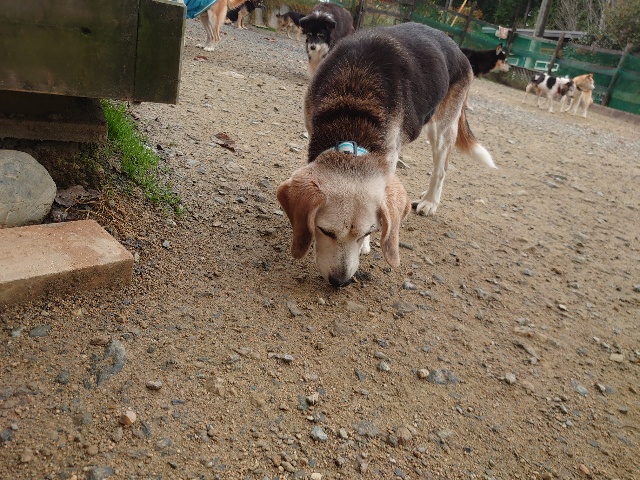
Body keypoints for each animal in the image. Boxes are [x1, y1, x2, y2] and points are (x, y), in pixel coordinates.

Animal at [277, 23, 495, 288]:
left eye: (369, 231)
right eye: (326, 231)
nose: (341, 282)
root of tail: (454, 45)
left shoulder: (388, 156)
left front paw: (366, 247)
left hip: (442, 128)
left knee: (441, 169)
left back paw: (430, 201)